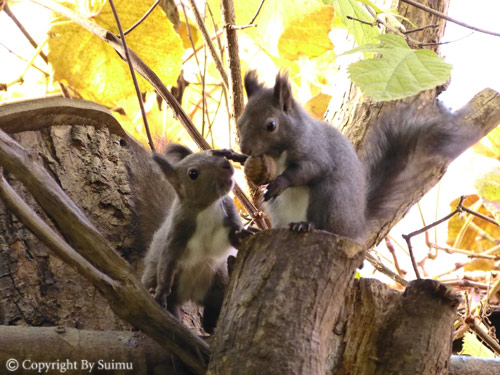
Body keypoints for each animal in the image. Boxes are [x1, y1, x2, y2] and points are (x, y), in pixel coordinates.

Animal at [140, 145, 245, 334]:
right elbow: (168, 261)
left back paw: (211, 326)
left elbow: (234, 237)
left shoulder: (229, 211)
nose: (226, 164)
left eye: (211, 152)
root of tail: (191, 295)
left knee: (214, 309)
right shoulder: (178, 230)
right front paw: (161, 291)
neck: (207, 208)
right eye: (193, 173)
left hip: (218, 282)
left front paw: (245, 234)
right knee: (170, 303)